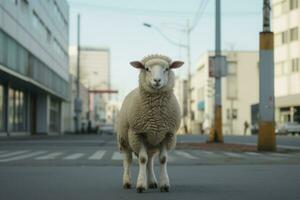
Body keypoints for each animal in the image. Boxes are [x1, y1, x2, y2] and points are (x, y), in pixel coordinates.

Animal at [116, 54, 183, 192]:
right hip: (125, 140)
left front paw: (164, 184)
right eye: (147, 69)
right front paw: (141, 185)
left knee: (150, 160)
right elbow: (142, 159)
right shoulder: (137, 134)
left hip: (151, 143)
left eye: (167, 69)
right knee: (128, 160)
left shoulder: (167, 134)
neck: (156, 116)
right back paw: (127, 182)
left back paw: (152, 182)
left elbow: (163, 159)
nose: (157, 80)